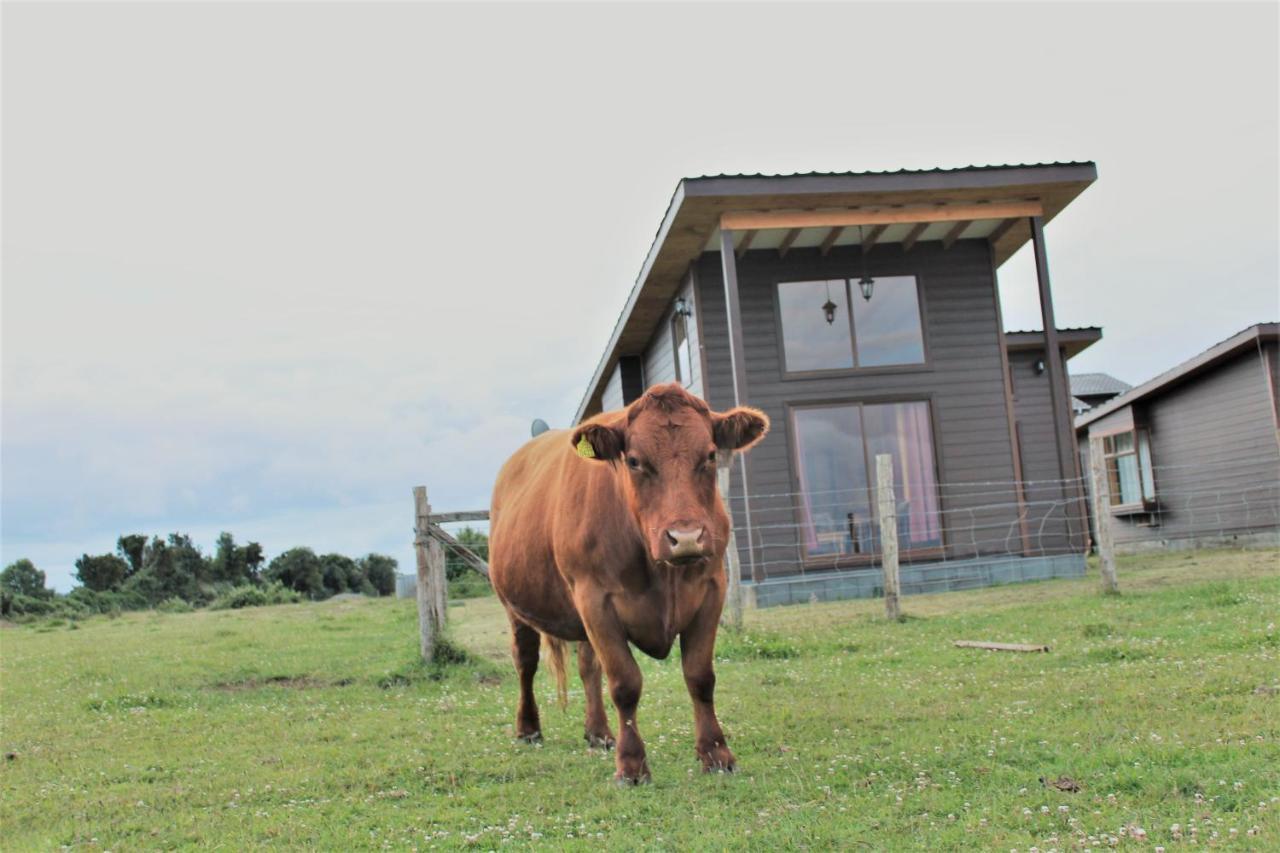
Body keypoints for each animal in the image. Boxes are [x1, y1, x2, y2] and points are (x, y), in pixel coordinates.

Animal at [488, 381, 768, 778]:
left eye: (711, 455)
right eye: (634, 461)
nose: (685, 538)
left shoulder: (712, 589)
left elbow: (700, 676)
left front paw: (716, 754)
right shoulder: (595, 600)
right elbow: (624, 683)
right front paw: (632, 765)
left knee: (588, 666)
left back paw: (599, 732)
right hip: (516, 606)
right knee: (525, 661)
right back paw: (528, 728)